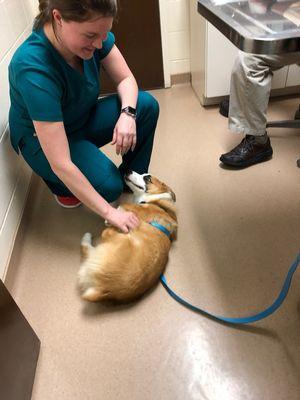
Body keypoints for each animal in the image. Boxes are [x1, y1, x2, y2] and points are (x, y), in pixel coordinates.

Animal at [77, 170, 178, 304]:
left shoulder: (137, 209)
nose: (128, 170)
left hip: (118, 237)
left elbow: (124, 206)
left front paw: (115, 215)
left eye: (147, 178)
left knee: (100, 237)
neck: (153, 200)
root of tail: (104, 290)